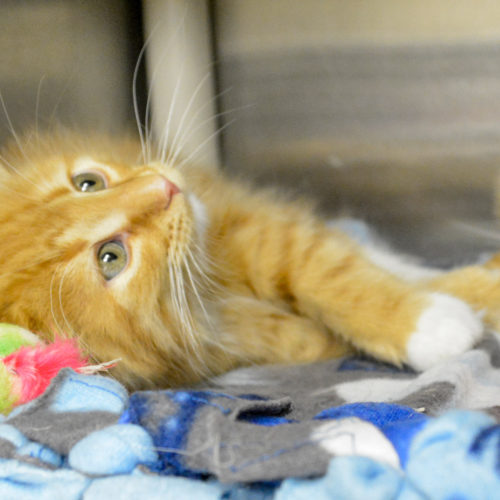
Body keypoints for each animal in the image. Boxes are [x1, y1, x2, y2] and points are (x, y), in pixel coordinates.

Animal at [0, 131, 494, 388]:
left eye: (87, 183)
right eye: (111, 257)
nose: (166, 186)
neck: (207, 290)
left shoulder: (252, 226)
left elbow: (336, 272)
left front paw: (454, 304)